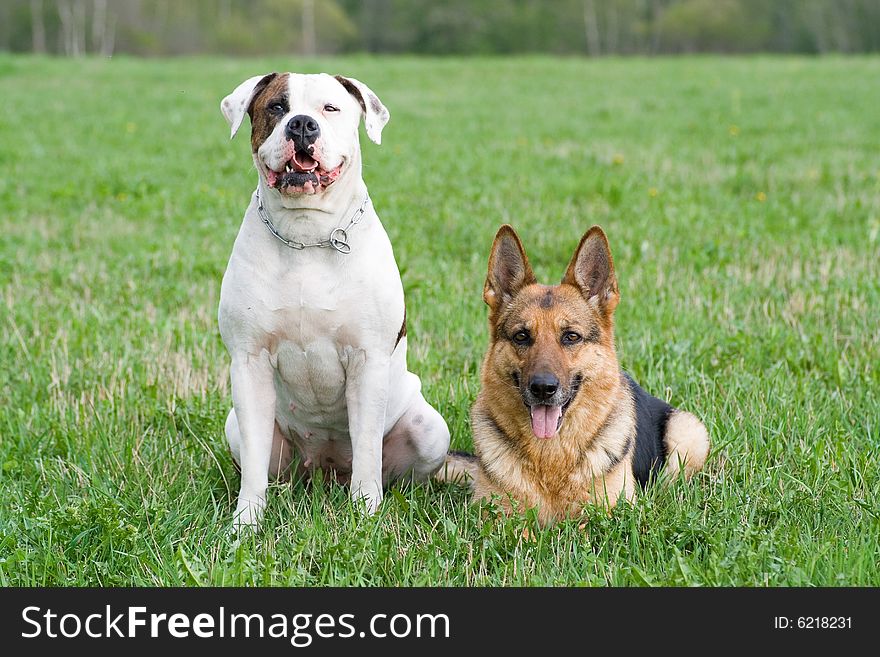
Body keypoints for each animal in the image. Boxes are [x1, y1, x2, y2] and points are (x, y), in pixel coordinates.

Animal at [217, 74, 450, 532]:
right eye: (277, 107)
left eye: (330, 108)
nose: (302, 125)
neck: (306, 234)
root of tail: (325, 469)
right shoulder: (249, 363)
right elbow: (253, 465)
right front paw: (245, 524)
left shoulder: (367, 361)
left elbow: (367, 448)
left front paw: (366, 515)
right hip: (242, 428)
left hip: (431, 429)